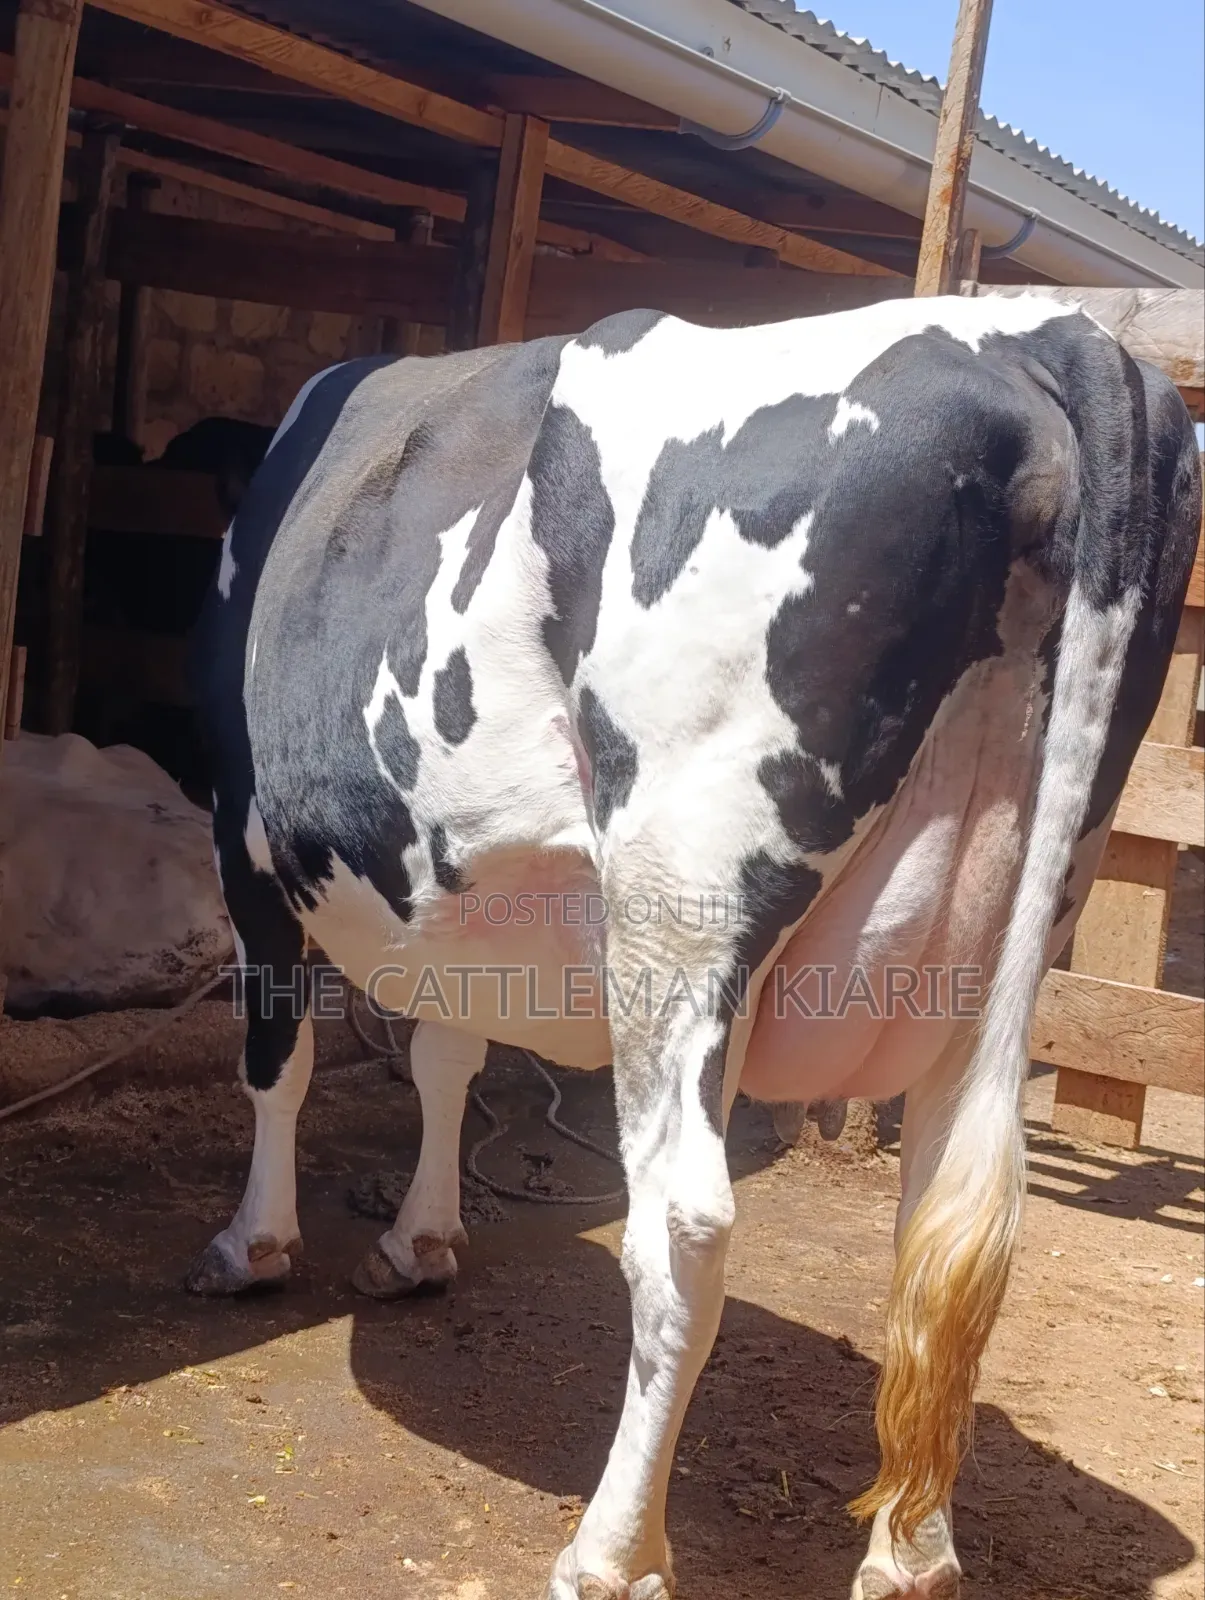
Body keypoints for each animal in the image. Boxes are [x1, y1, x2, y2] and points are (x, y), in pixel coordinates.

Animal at [185, 295, 1201, 1600]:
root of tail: (1052, 334)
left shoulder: (240, 828)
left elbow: (278, 1060)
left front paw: (255, 1243)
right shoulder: (458, 884)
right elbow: (445, 1055)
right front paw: (419, 1240)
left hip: (682, 896)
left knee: (684, 1226)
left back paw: (609, 1550)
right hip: (1004, 927)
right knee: (947, 1211)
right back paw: (908, 1555)